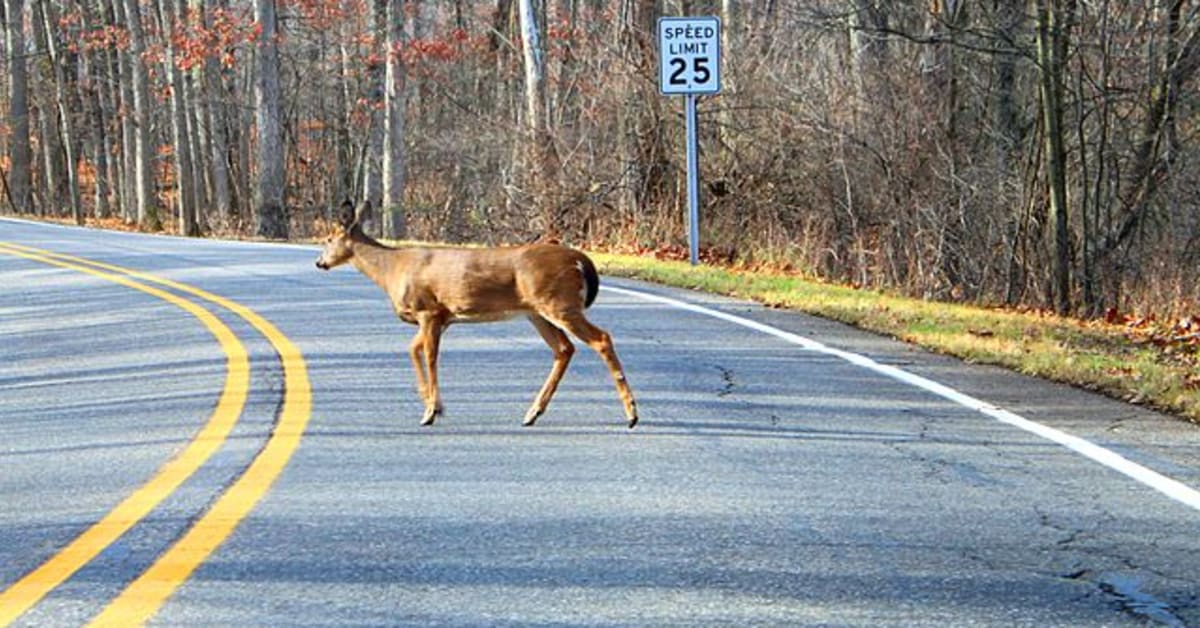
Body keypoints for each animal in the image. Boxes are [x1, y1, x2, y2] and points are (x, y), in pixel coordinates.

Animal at [316, 200, 638, 427]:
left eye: (329, 239)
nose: (320, 262)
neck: (391, 270)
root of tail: (579, 259)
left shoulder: (428, 310)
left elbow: (429, 356)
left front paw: (430, 411)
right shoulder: (441, 318)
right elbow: (413, 350)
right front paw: (434, 405)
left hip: (559, 303)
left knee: (601, 339)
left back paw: (631, 414)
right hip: (537, 311)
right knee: (564, 348)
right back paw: (533, 412)